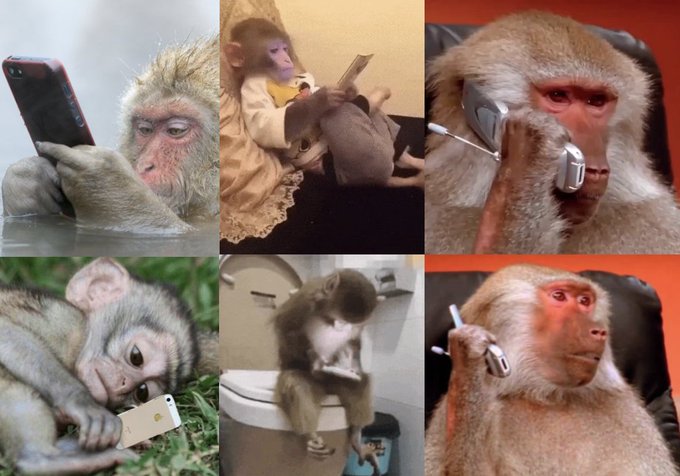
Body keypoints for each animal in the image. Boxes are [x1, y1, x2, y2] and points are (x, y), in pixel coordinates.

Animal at [0, 258, 218, 474]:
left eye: (142, 392)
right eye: (136, 357)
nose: (123, 383)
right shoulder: (60, 319)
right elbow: (7, 330)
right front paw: (82, 402)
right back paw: (39, 457)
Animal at [227, 18, 424, 188]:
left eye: (284, 48)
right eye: (274, 50)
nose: (287, 59)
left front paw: (350, 89)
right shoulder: (253, 88)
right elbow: (268, 125)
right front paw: (323, 98)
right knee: (342, 114)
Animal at [273, 269, 381, 476]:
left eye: (349, 321)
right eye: (339, 318)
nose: (343, 326)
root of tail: (327, 388)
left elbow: (353, 342)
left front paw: (350, 367)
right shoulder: (303, 300)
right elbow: (286, 329)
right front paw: (315, 360)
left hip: (335, 384)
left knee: (359, 383)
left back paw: (356, 438)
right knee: (297, 383)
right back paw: (311, 436)